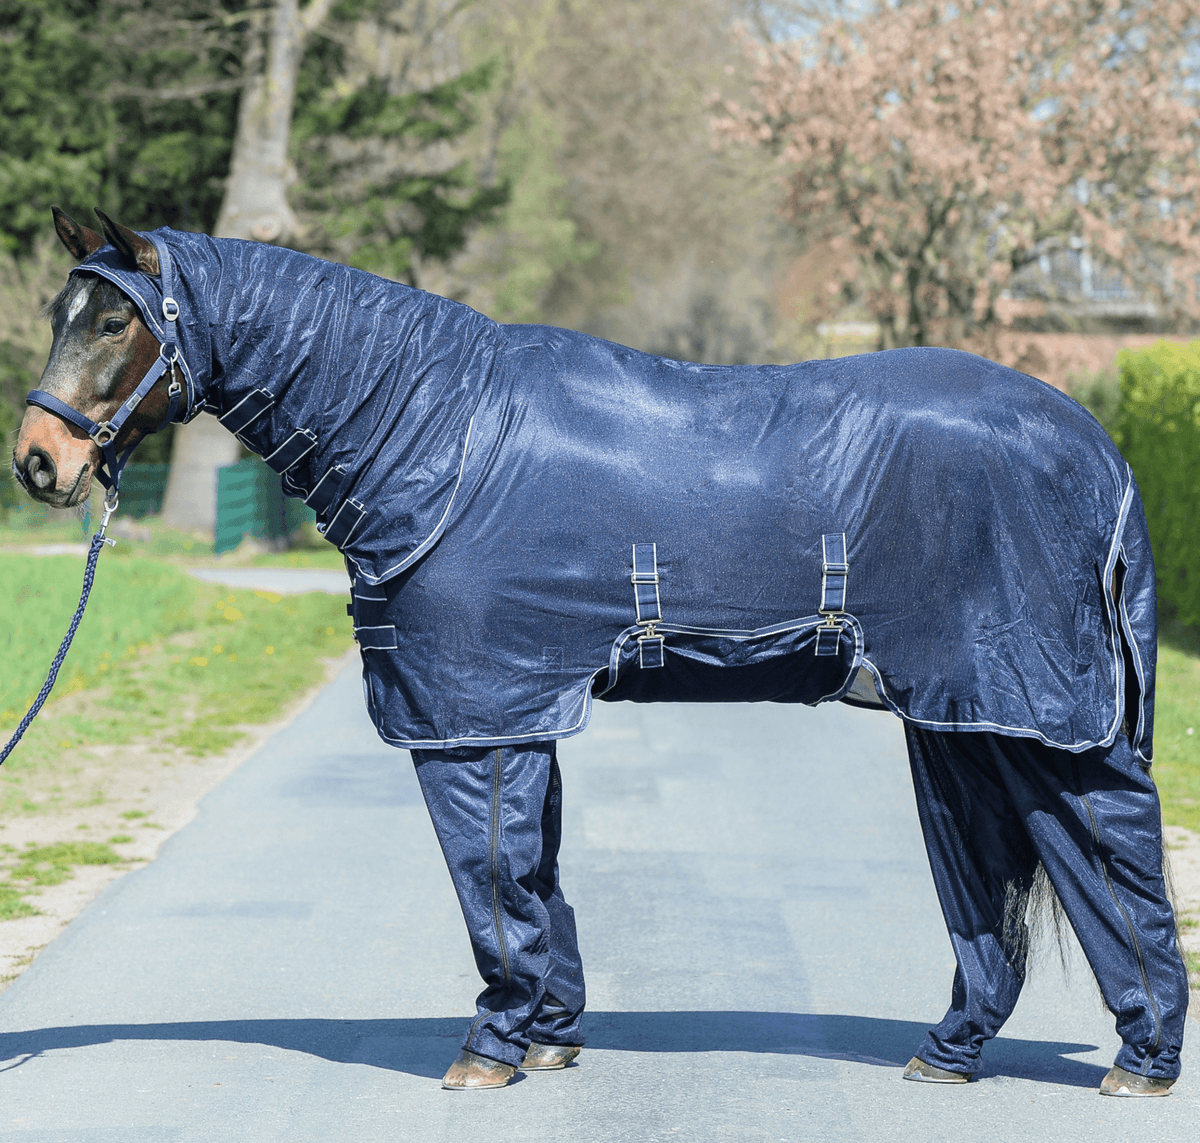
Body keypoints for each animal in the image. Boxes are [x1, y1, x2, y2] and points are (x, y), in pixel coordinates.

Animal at [12, 209, 1187, 1095]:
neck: (440, 438)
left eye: (113, 320)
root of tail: (1098, 447)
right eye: (64, 311)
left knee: (1114, 845)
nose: (37, 462)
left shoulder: (473, 723)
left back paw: (1144, 1062)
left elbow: (491, 884)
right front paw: (549, 1037)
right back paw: (951, 1052)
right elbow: (536, 879)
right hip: (959, 721)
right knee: (992, 879)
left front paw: (492, 1047)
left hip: (1040, 720)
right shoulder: (520, 712)